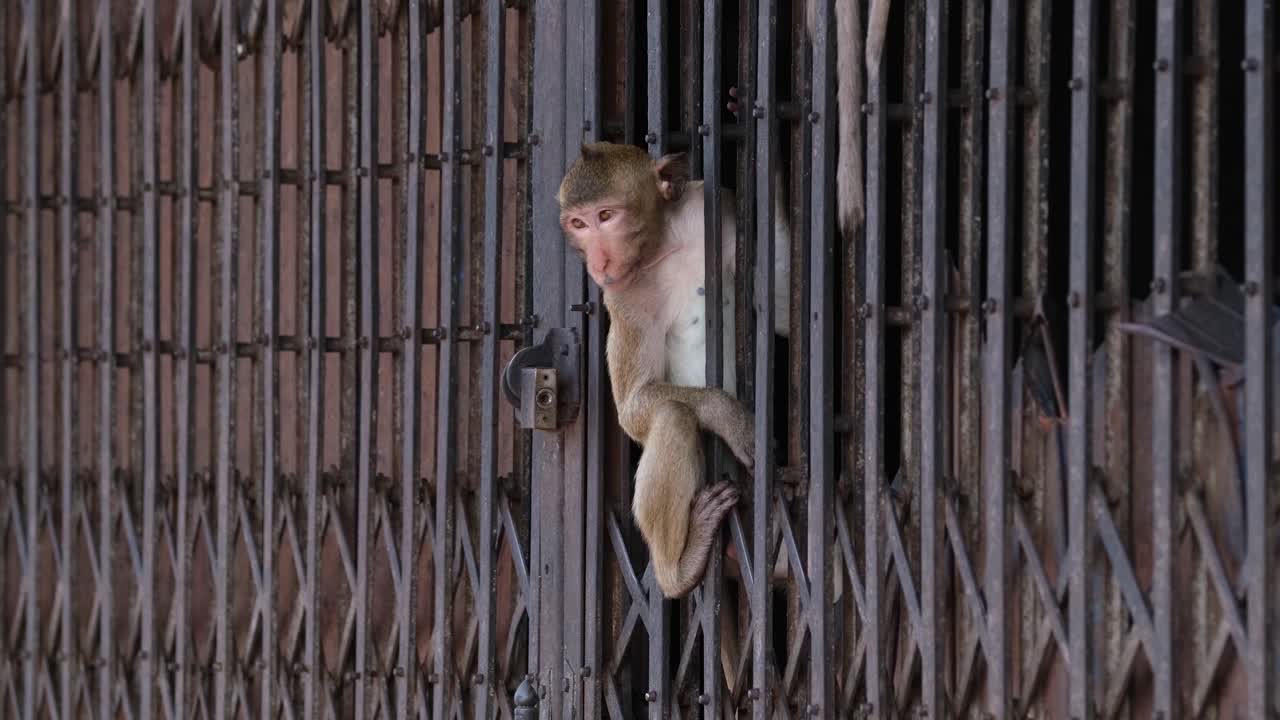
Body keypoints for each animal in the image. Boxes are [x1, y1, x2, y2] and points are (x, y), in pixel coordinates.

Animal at [557, 142, 792, 600]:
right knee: (672, 415)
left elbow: (782, 311)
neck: (662, 246)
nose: (597, 260)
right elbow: (634, 408)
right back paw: (678, 569)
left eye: (605, 216)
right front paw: (728, 415)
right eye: (578, 223)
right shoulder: (622, 295)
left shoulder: (713, 208)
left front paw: (770, 168)